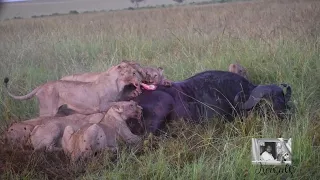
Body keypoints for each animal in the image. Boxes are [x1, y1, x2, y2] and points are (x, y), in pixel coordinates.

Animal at [3, 62, 144, 117]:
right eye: (133, 72)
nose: (140, 80)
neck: (119, 82)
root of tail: (41, 85)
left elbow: (122, 98)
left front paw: (134, 93)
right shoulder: (102, 105)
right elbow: (119, 102)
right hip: (47, 110)